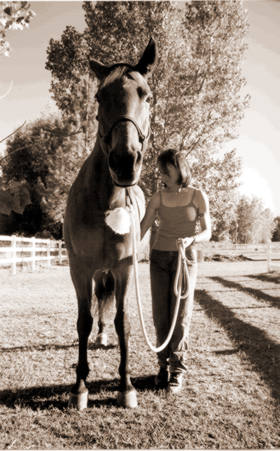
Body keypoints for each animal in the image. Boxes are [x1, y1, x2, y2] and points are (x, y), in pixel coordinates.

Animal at [64, 37, 159, 410]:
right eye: (99, 97)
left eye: (146, 94)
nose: (124, 161)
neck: (107, 200)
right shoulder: (80, 268)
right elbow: (83, 321)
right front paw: (80, 386)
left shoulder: (124, 268)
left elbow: (123, 322)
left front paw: (126, 384)